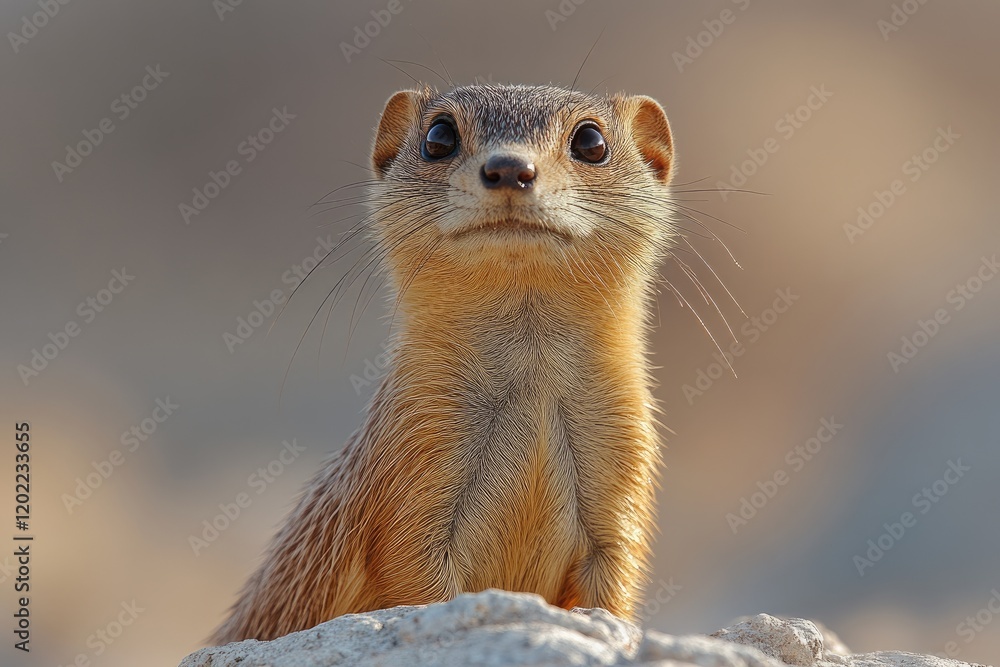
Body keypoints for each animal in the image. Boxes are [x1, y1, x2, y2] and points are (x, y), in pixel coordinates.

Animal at [213, 83, 677, 643]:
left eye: (591, 140)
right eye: (439, 136)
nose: (509, 168)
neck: (533, 399)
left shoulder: (626, 466)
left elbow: (614, 585)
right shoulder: (410, 459)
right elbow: (414, 576)